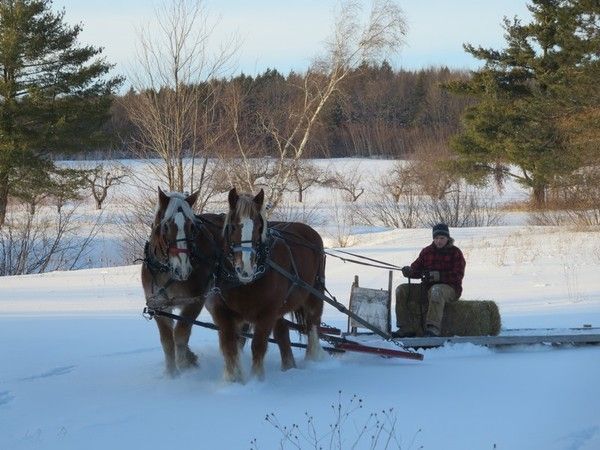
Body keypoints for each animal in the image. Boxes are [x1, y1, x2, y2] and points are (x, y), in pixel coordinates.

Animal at [141, 186, 220, 376]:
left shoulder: (194, 301)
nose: (182, 269)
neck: (166, 271)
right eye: (166, 226)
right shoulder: (159, 306)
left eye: (192, 226)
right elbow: (167, 341)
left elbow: (181, 334)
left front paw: (184, 364)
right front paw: (171, 374)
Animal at [206, 188, 328, 382]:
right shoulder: (224, 313)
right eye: (232, 226)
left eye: (258, 227)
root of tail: (308, 230)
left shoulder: (267, 314)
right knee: (283, 332)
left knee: (313, 326)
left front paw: (257, 379)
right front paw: (233, 380)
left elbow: (258, 346)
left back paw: (312, 359)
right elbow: (229, 346)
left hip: (314, 294)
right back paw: (288, 366)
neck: (246, 283)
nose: (246, 269)